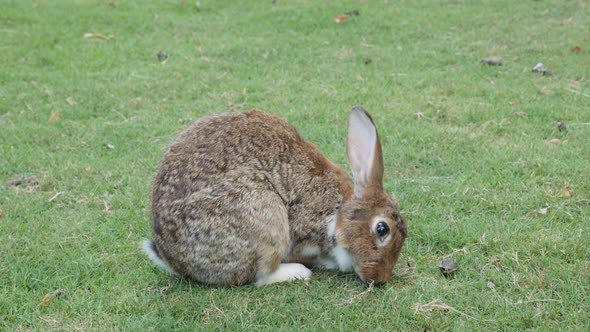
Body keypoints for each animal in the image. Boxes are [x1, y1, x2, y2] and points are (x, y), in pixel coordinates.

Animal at [145, 106, 408, 286]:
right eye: (382, 229)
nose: (379, 278)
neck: (340, 210)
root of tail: (175, 260)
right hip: (262, 214)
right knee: (261, 275)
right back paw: (297, 272)